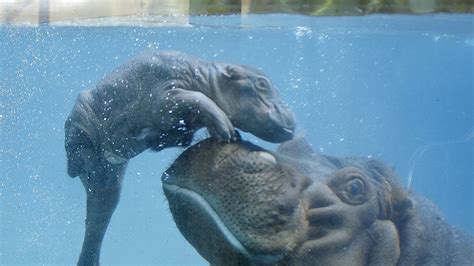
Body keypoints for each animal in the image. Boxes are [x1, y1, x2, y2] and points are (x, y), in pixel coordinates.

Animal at [65, 50, 294, 266]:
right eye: (262, 83)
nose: (291, 120)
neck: (208, 75)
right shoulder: (168, 95)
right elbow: (199, 99)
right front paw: (226, 128)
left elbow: (182, 134)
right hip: (80, 119)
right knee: (75, 153)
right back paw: (78, 163)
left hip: (110, 177)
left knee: (100, 215)